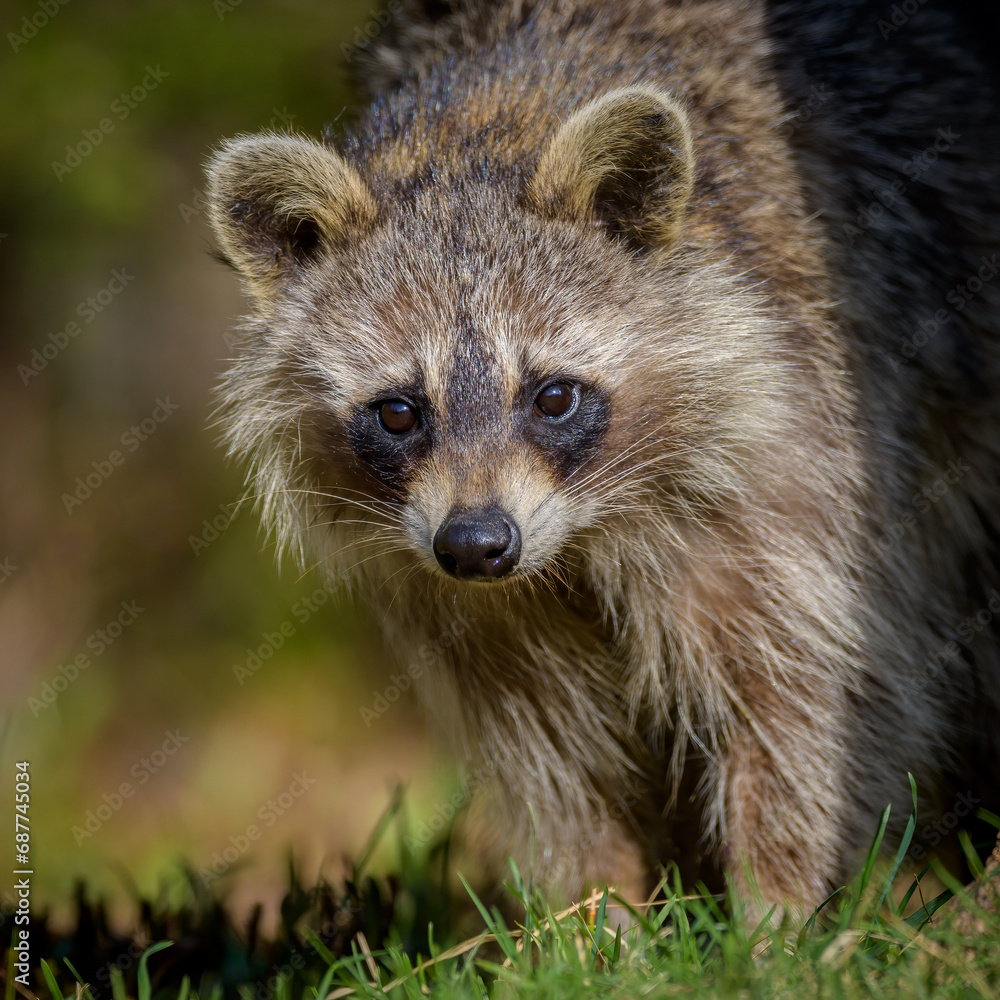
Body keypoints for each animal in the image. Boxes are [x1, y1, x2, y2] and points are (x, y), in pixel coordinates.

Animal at [206, 0, 1000, 915]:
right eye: (399, 412)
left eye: (553, 397)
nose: (476, 545)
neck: (476, 129)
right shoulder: (456, 595)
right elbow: (547, 752)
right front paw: (594, 912)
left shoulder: (802, 445)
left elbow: (808, 695)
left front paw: (775, 906)